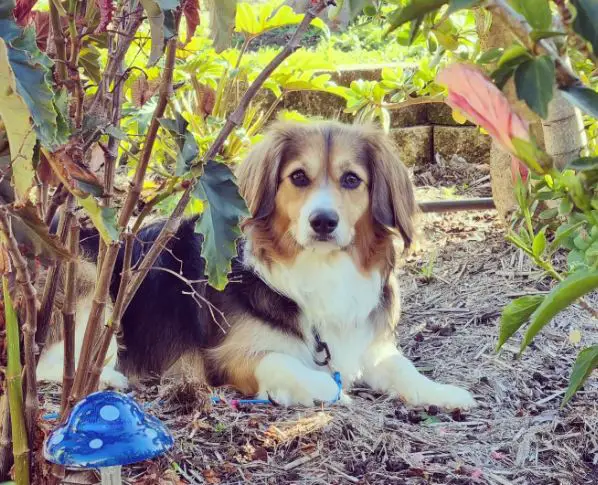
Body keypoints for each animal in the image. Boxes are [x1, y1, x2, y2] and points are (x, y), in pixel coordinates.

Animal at [37, 122, 478, 408]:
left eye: (352, 180)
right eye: (298, 177)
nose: (323, 221)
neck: (319, 269)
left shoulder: (367, 344)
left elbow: (401, 367)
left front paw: (442, 392)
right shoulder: (224, 357)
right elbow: (281, 361)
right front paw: (327, 388)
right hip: (88, 281)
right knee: (53, 364)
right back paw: (108, 379)